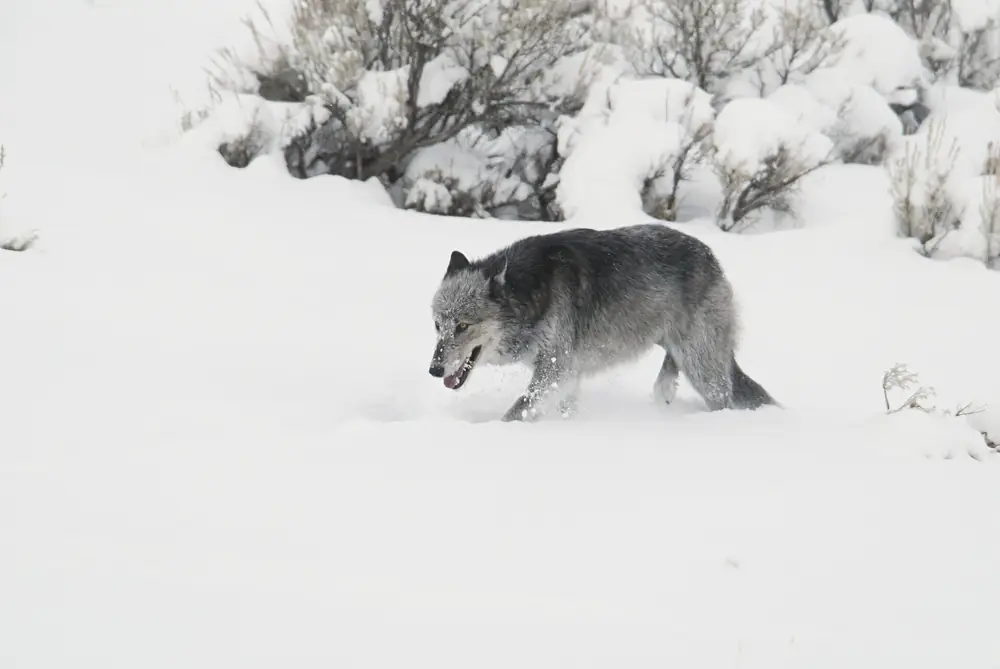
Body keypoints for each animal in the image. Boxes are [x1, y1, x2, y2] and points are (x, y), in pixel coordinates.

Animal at [428, 223, 776, 422]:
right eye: (438, 325)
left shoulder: (556, 371)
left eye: (463, 326)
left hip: (703, 369)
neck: (531, 293)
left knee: (724, 398)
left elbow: (515, 412)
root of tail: (711, 257)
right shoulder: (565, 377)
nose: (434, 370)